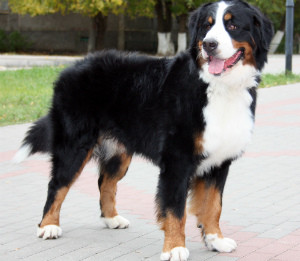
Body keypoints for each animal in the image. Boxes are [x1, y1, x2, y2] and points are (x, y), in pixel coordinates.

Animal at [14, 1, 274, 258]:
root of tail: (72, 67)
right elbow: (175, 209)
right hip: (75, 145)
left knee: (105, 182)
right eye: (206, 26)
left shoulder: (219, 162)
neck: (219, 87)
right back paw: (48, 225)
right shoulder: (177, 160)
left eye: (233, 25)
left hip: (119, 152)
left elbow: (213, 205)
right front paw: (175, 247)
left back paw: (111, 219)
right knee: (57, 184)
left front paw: (215, 240)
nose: (210, 44)